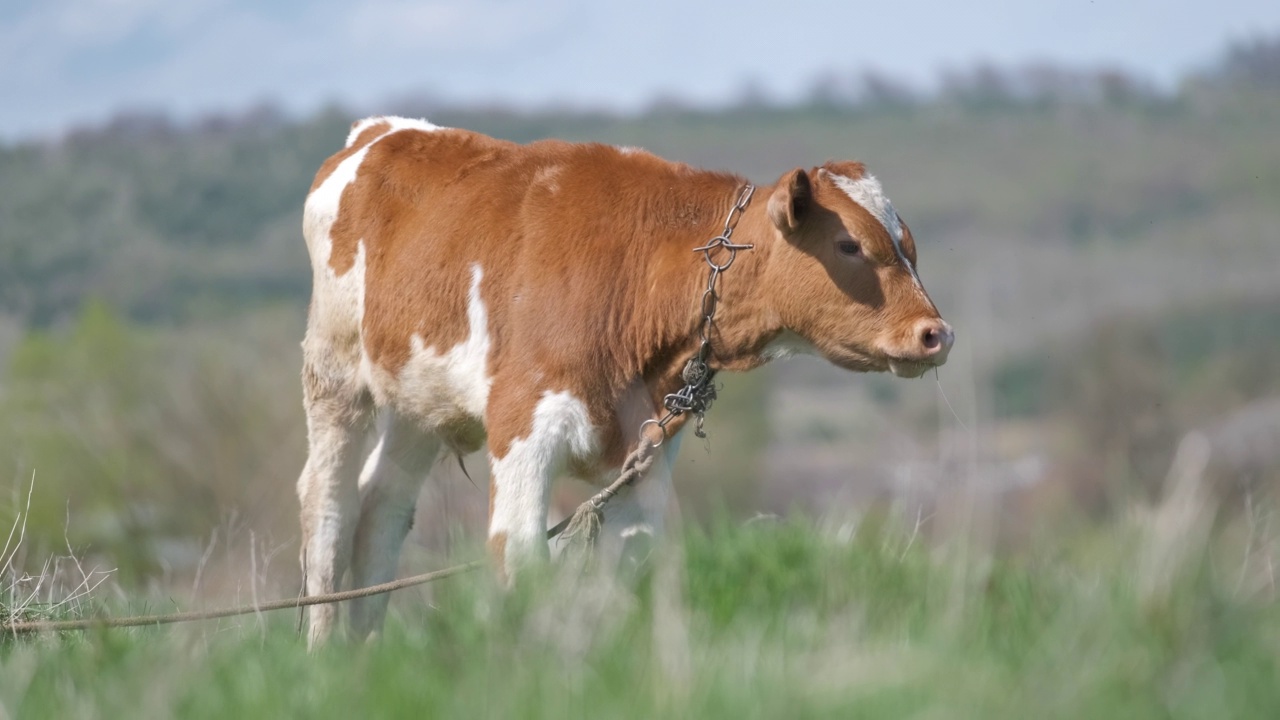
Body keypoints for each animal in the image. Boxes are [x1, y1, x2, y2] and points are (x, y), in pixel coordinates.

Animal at [294, 114, 947, 640]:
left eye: (910, 246)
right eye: (849, 244)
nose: (936, 334)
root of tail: (382, 130)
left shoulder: (647, 457)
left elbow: (626, 571)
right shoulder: (524, 428)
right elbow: (519, 557)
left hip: (419, 404)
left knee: (382, 509)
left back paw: (366, 655)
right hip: (335, 374)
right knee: (328, 509)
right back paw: (325, 658)